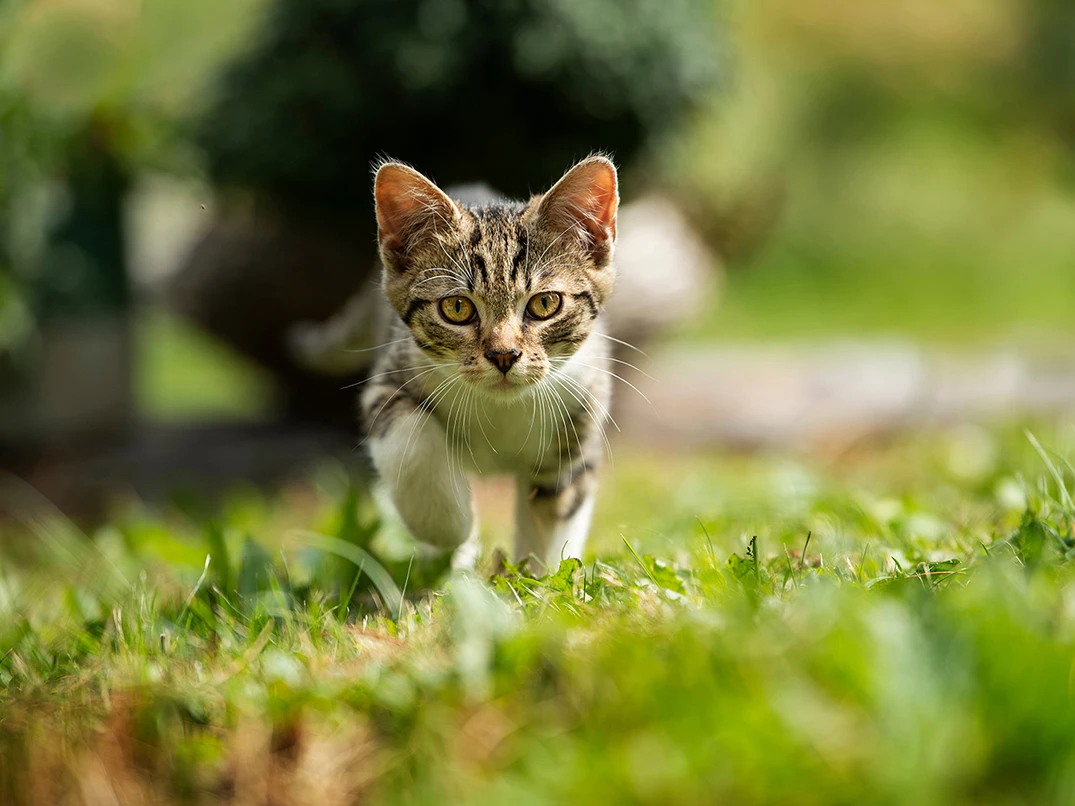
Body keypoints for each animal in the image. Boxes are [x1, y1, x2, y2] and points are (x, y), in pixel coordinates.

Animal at [361, 157, 619, 571]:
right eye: (456, 307)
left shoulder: (585, 404)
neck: (500, 410)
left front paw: (540, 578)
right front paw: (450, 527)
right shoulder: (389, 375)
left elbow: (558, 502)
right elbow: (409, 442)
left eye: (545, 303)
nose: (504, 354)